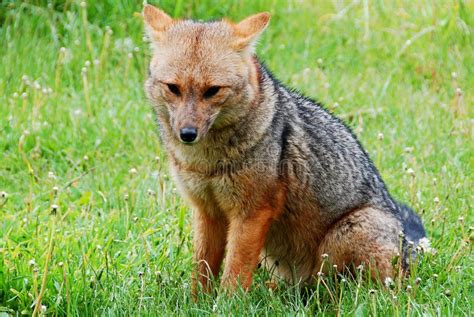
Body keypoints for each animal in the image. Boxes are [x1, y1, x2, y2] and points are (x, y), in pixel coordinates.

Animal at [143, 4, 428, 292]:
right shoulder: (207, 211)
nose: (187, 134)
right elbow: (201, 273)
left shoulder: (251, 213)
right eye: (173, 88)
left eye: (213, 91)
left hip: (342, 238)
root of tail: (405, 245)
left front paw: (228, 301)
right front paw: (198, 300)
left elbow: (234, 274)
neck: (207, 162)